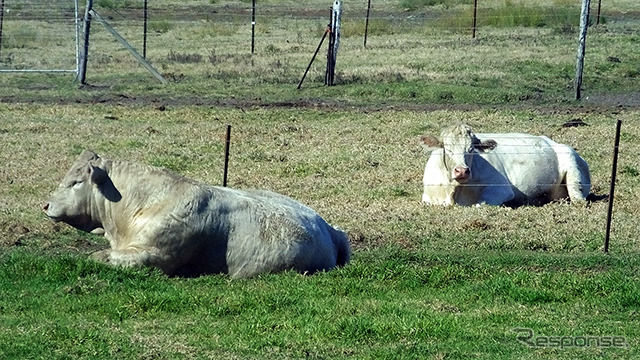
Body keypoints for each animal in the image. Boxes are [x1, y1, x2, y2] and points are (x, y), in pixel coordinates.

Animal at [420, 124, 592, 207]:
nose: (462, 171)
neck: (454, 192)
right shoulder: (428, 197)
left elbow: (479, 205)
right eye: (447, 148)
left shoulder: (501, 190)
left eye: (471, 149)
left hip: (573, 171)